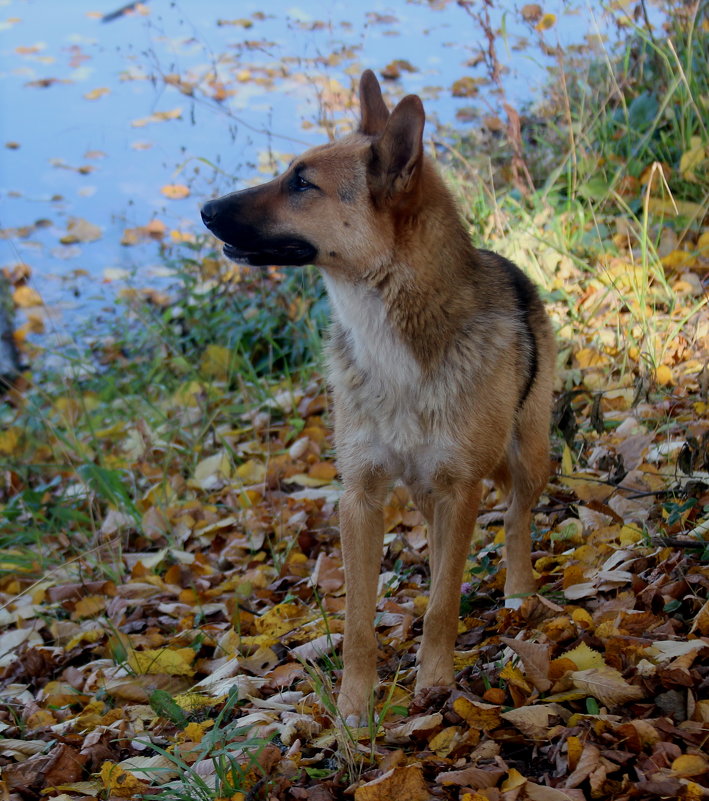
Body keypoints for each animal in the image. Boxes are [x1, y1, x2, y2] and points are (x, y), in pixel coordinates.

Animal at [199, 70, 552, 724]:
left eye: (302, 183)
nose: (204, 210)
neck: (393, 348)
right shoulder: (360, 499)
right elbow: (359, 622)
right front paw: (353, 712)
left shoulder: (461, 487)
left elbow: (441, 607)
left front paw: (434, 683)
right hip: (425, 492)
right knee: (444, 547)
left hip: (526, 457)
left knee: (517, 514)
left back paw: (518, 592)